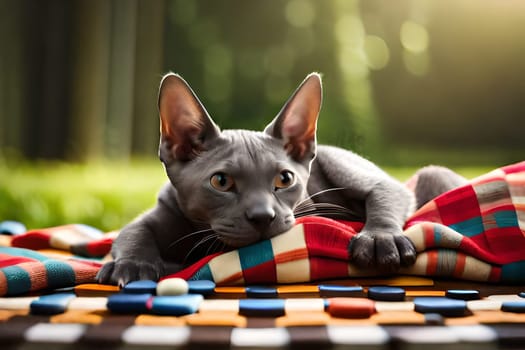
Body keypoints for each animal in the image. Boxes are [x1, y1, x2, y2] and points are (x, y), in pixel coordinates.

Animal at [96, 72, 464, 286]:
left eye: (285, 179)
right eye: (220, 182)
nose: (263, 216)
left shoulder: (380, 185)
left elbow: (385, 195)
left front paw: (379, 238)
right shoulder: (160, 210)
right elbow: (132, 232)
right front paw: (131, 264)